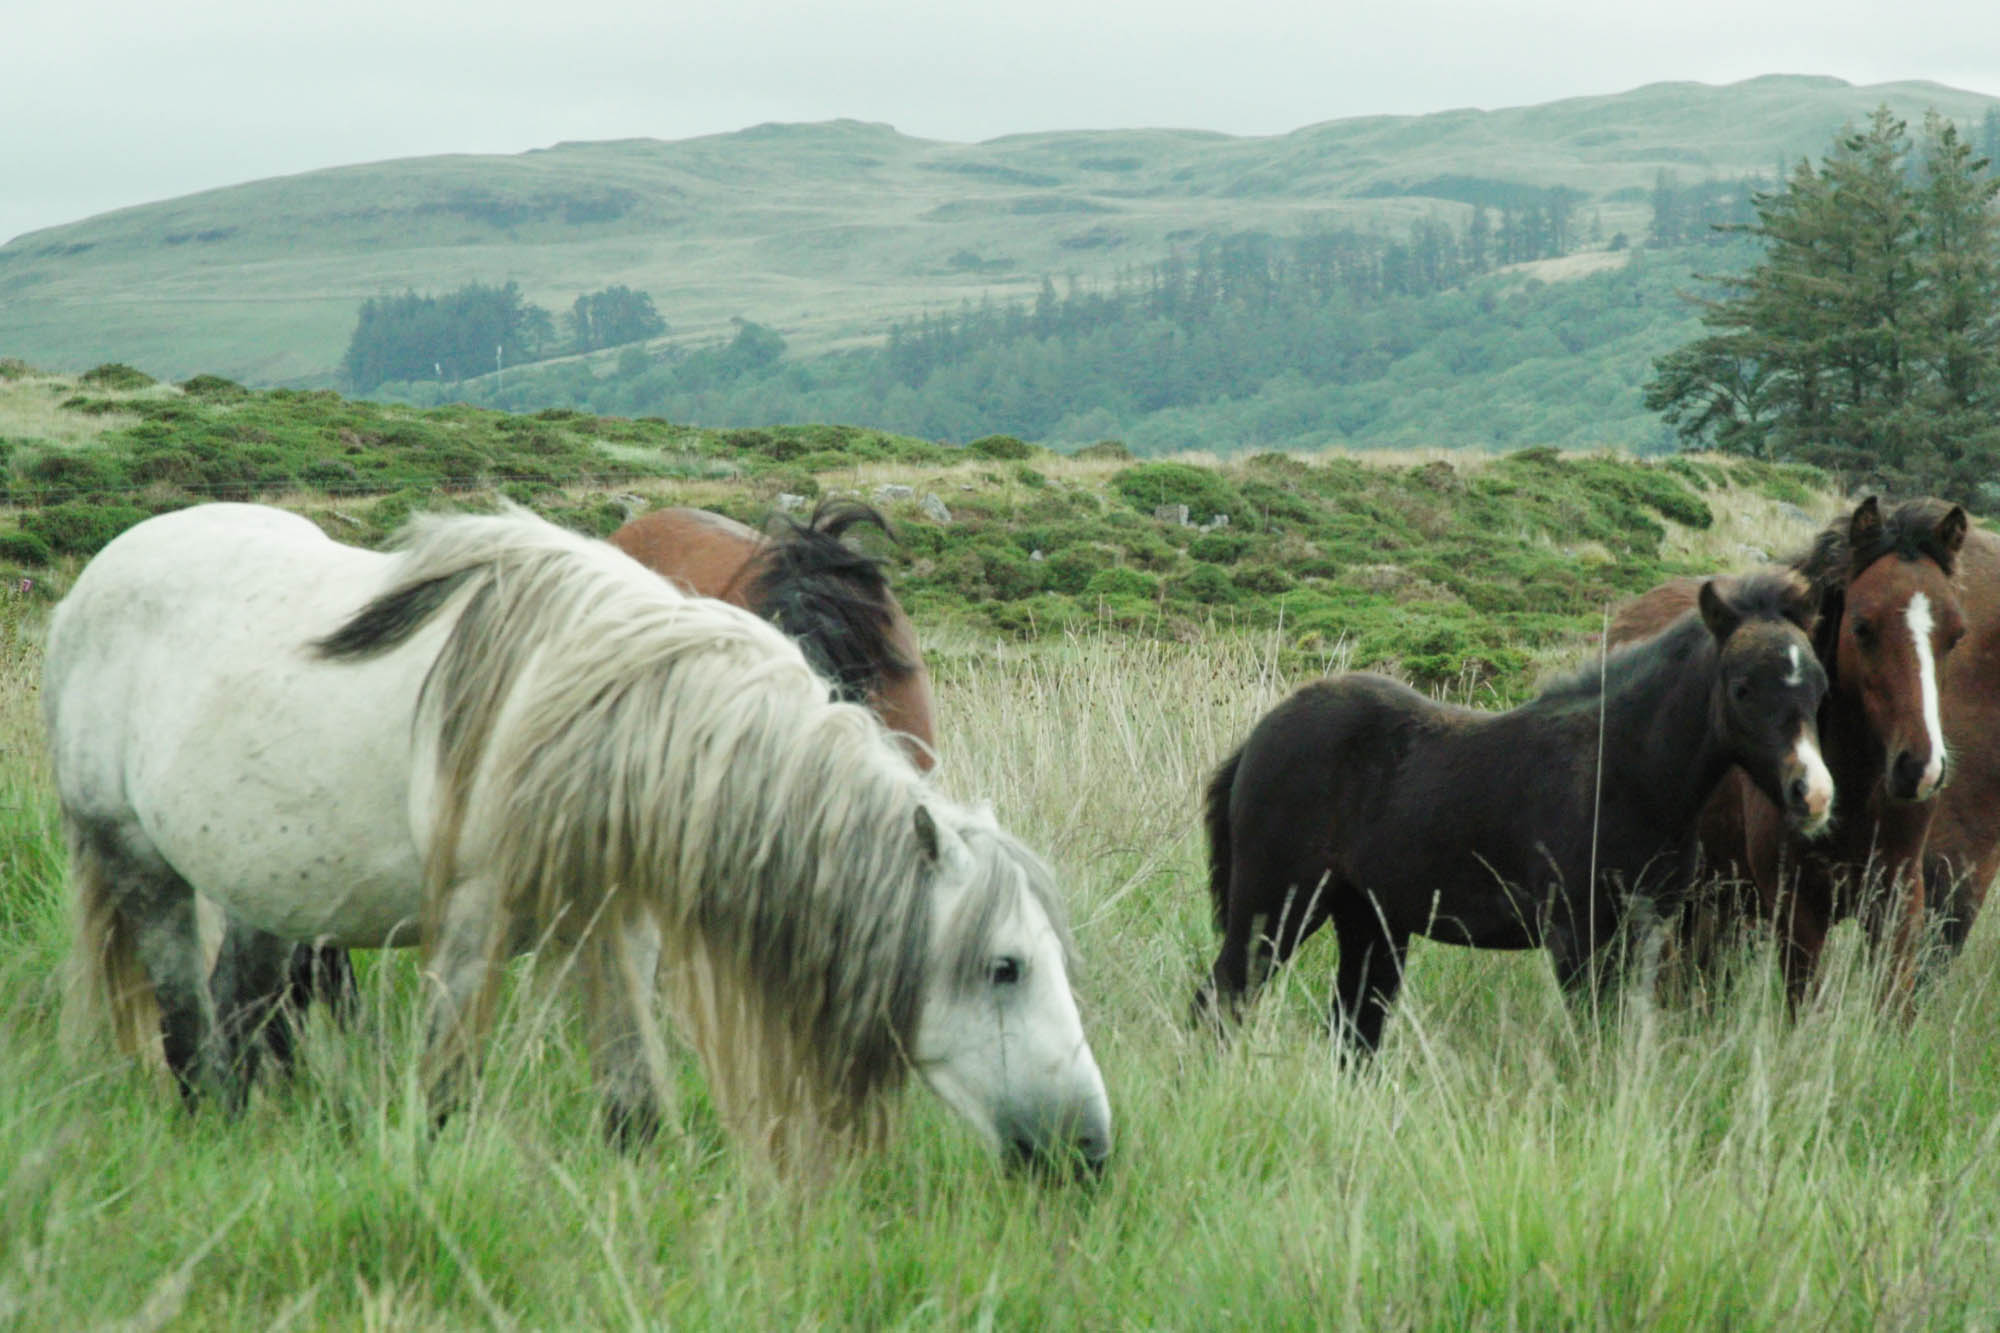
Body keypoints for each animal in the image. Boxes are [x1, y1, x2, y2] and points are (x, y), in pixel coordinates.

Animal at [47, 504, 1112, 1168]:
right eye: (1006, 966)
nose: (1091, 1149)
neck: (608, 716)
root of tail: (90, 584)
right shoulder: (471, 924)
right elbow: (445, 1091)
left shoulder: (612, 925)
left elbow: (634, 1106)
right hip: (141, 864)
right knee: (190, 1032)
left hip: (268, 883)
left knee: (244, 1002)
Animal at [1192, 572, 1832, 1048]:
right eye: (1742, 687)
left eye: (1820, 687)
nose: (1814, 794)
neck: (1624, 771)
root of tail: (1257, 739)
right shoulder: (1575, 934)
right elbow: (1593, 1039)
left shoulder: (1645, 930)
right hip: (1277, 904)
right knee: (1221, 998)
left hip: (1368, 920)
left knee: (1353, 1031)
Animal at [1608, 498, 1968, 1008]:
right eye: (1862, 628)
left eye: (1956, 634)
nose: (1920, 769)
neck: (1853, 792)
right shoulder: (1798, 910)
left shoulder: (1897, 903)